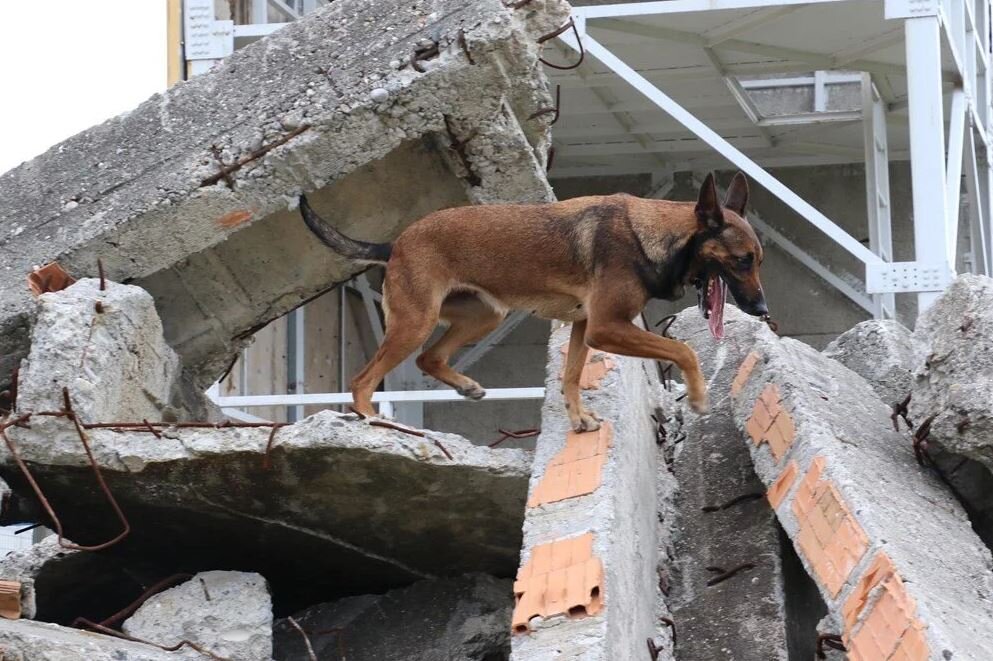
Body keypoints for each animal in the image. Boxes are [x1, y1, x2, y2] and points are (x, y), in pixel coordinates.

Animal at [300, 170, 768, 430]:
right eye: (742, 260)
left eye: (757, 260)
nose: (763, 310)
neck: (653, 233)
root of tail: (395, 243)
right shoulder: (606, 327)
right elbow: (684, 349)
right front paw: (698, 396)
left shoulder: (584, 327)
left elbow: (571, 376)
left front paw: (579, 420)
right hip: (415, 322)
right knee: (363, 380)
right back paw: (371, 419)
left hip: (482, 316)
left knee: (428, 358)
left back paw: (465, 386)